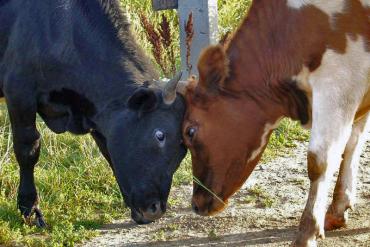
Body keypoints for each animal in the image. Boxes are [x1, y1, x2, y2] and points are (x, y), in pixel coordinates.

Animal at [0, 0, 185, 226]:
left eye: (184, 147)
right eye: (160, 135)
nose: (155, 209)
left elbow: (108, 153)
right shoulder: (19, 91)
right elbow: (28, 149)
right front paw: (30, 208)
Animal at [181, 0, 370, 246]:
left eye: (190, 131)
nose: (197, 203)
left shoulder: (338, 81)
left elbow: (319, 161)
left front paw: (307, 233)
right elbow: (353, 145)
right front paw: (338, 210)